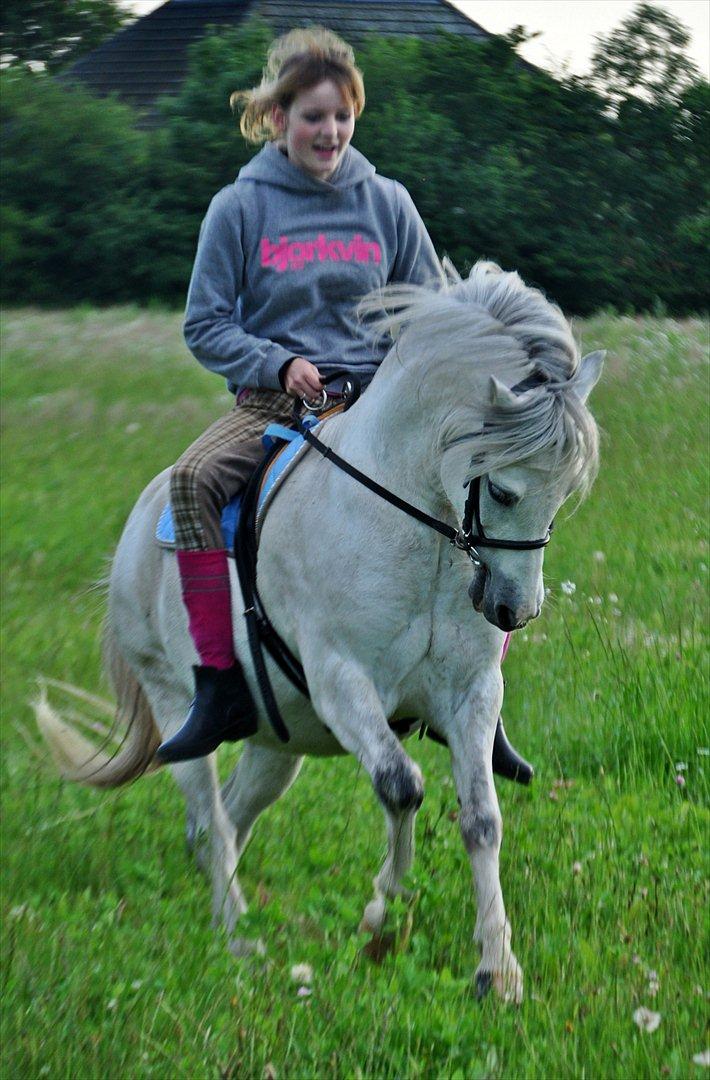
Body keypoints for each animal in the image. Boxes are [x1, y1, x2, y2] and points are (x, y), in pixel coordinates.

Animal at [37, 261, 605, 1002]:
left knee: (230, 814)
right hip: (174, 700)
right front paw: (379, 913)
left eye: (564, 492)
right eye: (505, 489)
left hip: (278, 744)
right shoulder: (343, 682)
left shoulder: (472, 694)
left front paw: (497, 970)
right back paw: (236, 935)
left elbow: (482, 819)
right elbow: (402, 786)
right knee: (209, 816)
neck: (413, 527)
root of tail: (137, 526)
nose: (514, 609)